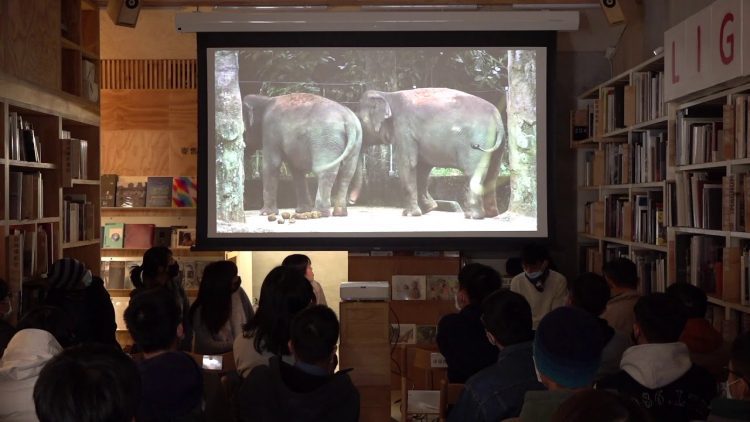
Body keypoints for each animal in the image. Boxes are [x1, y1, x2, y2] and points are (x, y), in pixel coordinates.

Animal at [358, 87, 506, 219]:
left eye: (359, 119)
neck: (387, 95)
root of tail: (497, 118)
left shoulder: (404, 129)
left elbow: (408, 163)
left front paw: (409, 214)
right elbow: (422, 168)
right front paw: (429, 208)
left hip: (478, 140)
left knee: (474, 173)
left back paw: (472, 216)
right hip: (497, 145)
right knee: (493, 173)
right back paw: (491, 215)